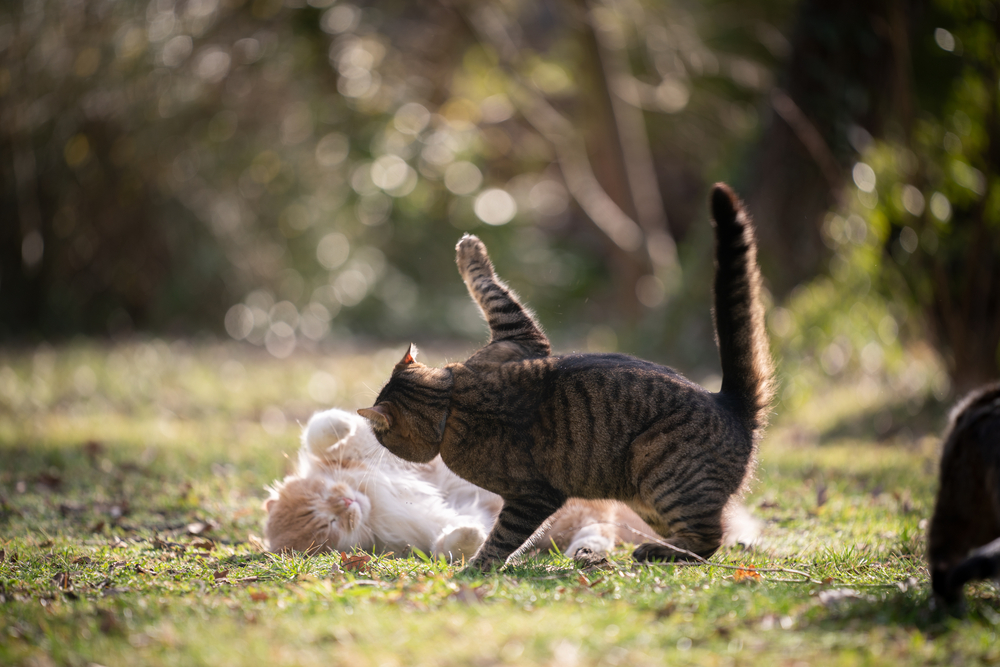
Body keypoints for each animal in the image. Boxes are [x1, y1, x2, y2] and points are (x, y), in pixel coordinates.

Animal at [262, 408, 752, 564]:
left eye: (324, 506)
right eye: (328, 527)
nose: (347, 503)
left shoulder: (357, 456)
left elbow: (322, 429)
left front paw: (342, 423)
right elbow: (451, 540)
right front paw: (465, 537)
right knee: (599, 533)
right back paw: (586, 553)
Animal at [360, 185, 772, 572]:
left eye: (380, 435)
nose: (374, 441)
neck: (453, 399)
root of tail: (729, 402)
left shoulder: (532, 495)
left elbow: (503, 537)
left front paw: (476, 567)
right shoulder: (520, 339)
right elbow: (490, 288)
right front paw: (470, 250)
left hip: (662, 472)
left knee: (710, 539)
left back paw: (655, 552)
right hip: (645, 497)